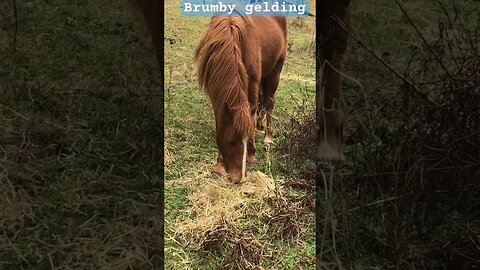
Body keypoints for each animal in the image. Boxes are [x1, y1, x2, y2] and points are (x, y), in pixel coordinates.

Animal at [193, 15, 286, 182]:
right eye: (230, 141)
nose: (240, 178)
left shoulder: (253, 84)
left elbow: (251, 114)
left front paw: (251, 154)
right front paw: (220, 165)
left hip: (275, 72)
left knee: (269, 103)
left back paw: (268, 137)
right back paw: (259, 128)